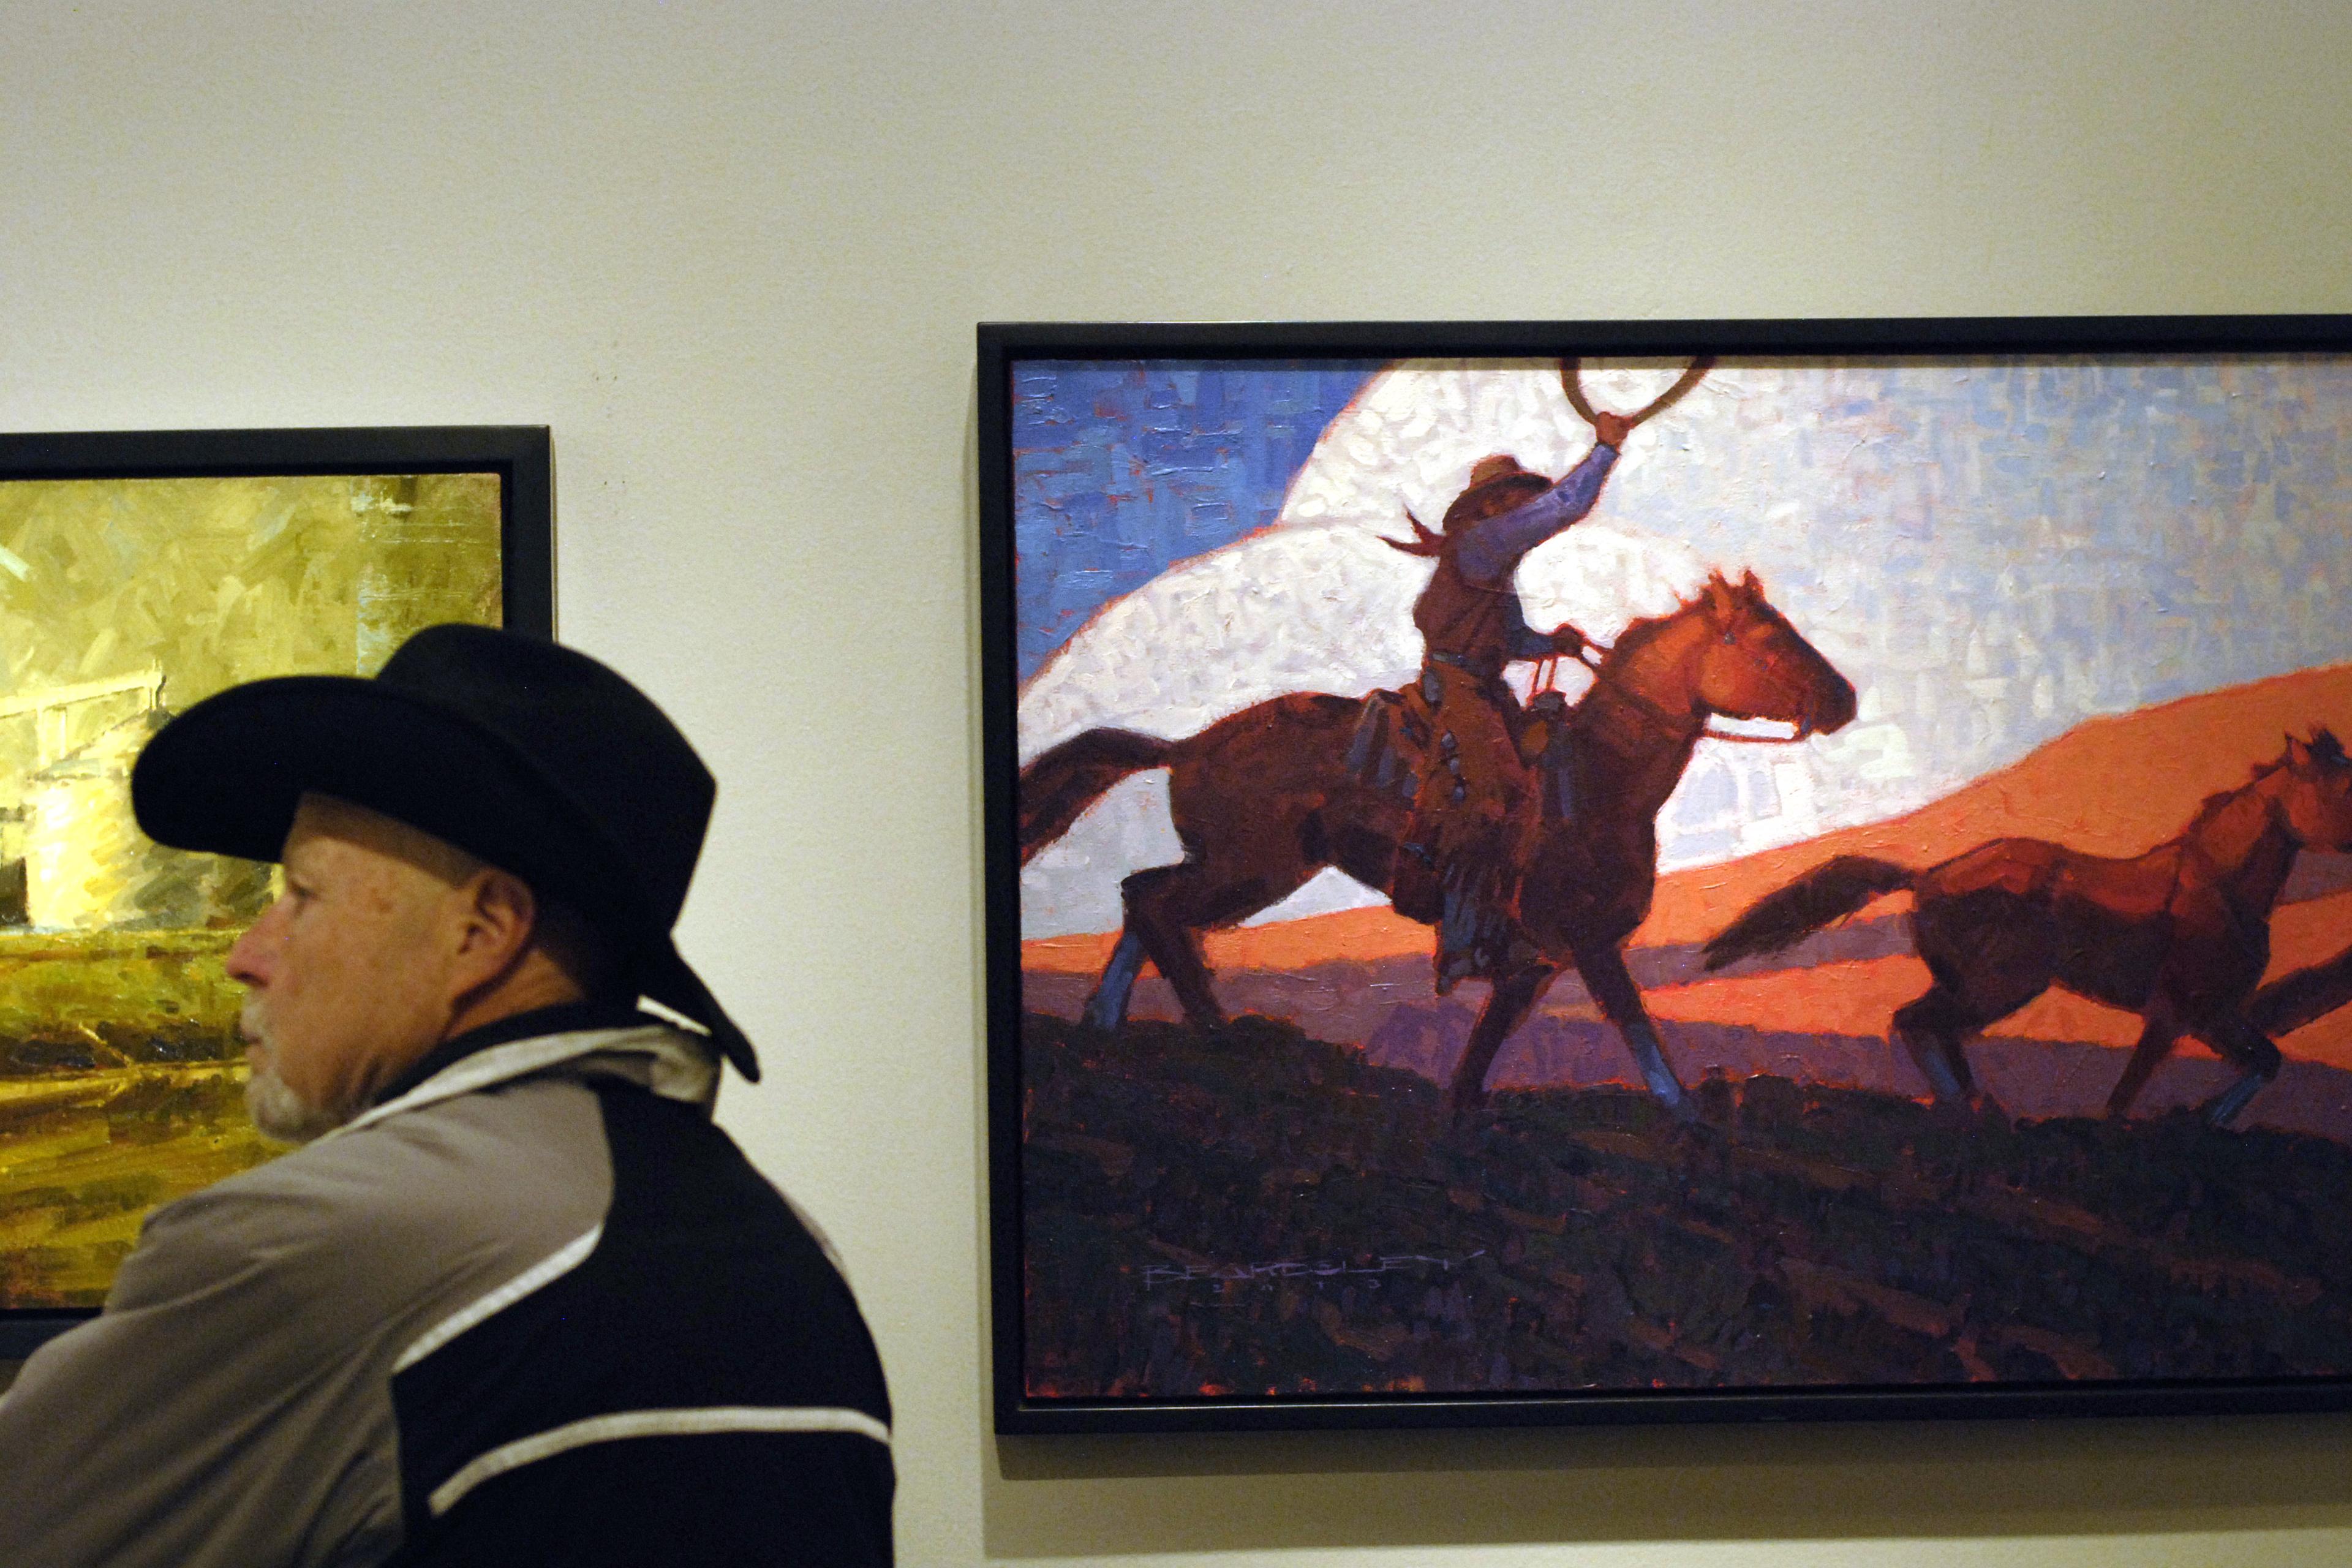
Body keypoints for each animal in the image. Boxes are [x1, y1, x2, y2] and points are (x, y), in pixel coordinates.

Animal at [1011, 571, 1853, 1123]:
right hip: (1250, 871)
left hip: (1236, 867)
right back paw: (1216, 1031)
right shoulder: (1585, 941)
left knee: (1143, 898)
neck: (1600, 779)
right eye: (1770, 642)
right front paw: (1687, 1116)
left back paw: (1106, 1022)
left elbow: (1483, 1050)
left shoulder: (1533, 960)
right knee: (1153, 902)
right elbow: (1634, 1023)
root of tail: (1188, 745)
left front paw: (1464, 1110)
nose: (1844, 700)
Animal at [1703, 728, 2352, 1123]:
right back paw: (1964, 1111)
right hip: (2000, 986)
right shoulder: (2179, 1013)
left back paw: (1978, 1106)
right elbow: (2125, 1098)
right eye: (2342, 787)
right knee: (1917, 1022)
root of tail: (1928, 876)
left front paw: (2206, 1120)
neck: (2222, 884)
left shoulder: (2215, 1014)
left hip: (1976, 985)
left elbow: (2266, 1060)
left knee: (1935, 1029)